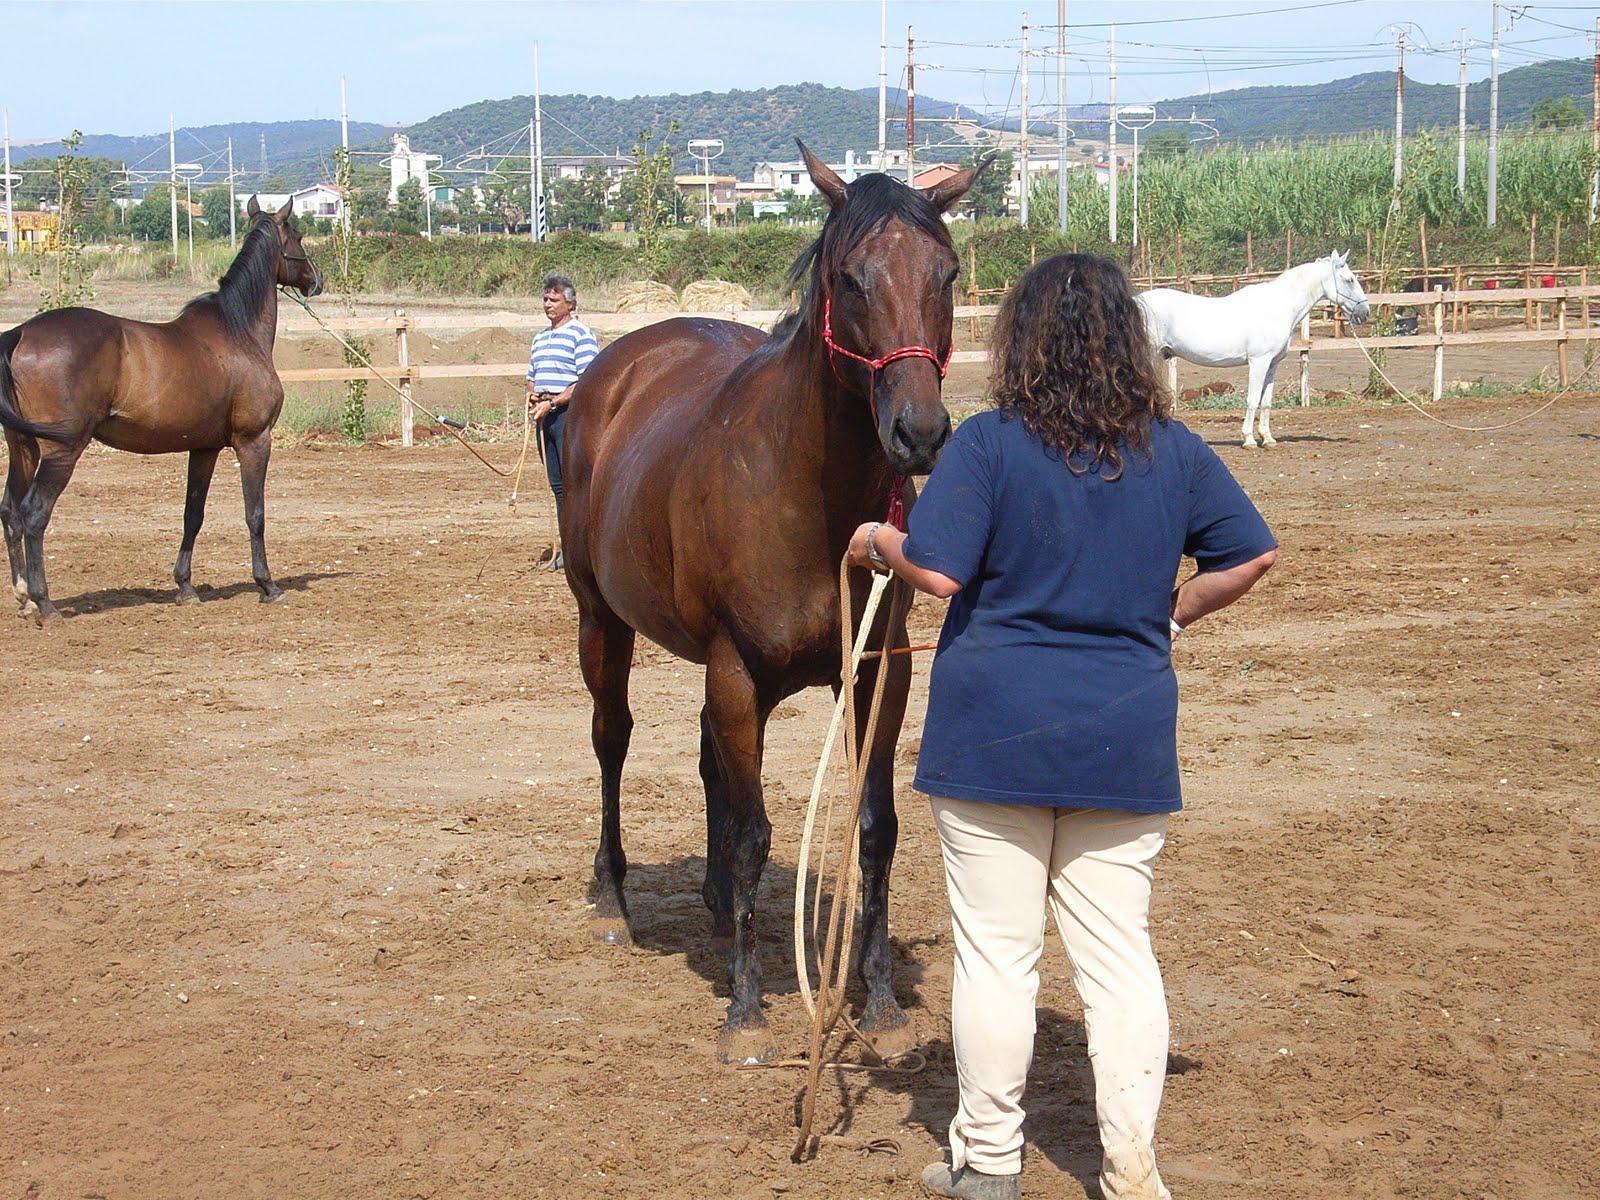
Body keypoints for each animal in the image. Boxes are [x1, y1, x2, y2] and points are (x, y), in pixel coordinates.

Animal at [0, 196, 322, 622]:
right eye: (298, 236)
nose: (317, 280)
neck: (237, 332)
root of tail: (19, 333)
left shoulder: (203, 448)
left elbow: (192, 515)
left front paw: (185, 587)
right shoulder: (254, 441)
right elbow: (255, 514)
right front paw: (267, 584)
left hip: (23, 447)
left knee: (10, 512)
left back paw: (22, 598)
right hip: (61, 451)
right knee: (34, 515)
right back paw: (45, 603)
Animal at [560, 143, 982, 1065]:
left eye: (948, 272)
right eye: (852, 277)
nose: (919, 433)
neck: (808, 495)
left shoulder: (879, 674)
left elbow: (874, 826)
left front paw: (880, 1004)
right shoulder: (738, 671)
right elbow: (755, 833)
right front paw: (746, 1011)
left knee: (709, 761)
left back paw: (718, 903)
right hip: (601, 622)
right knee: (612, 741)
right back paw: (610, 897)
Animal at [1136, 251, 1371, 448]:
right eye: (1349, 280)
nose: (1365, 312)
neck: (1278, 308)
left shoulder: (1272, 364)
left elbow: (1265, 401)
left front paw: (1267, 438)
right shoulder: (1259, 361)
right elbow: (1252, 399)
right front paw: (1248, 439)